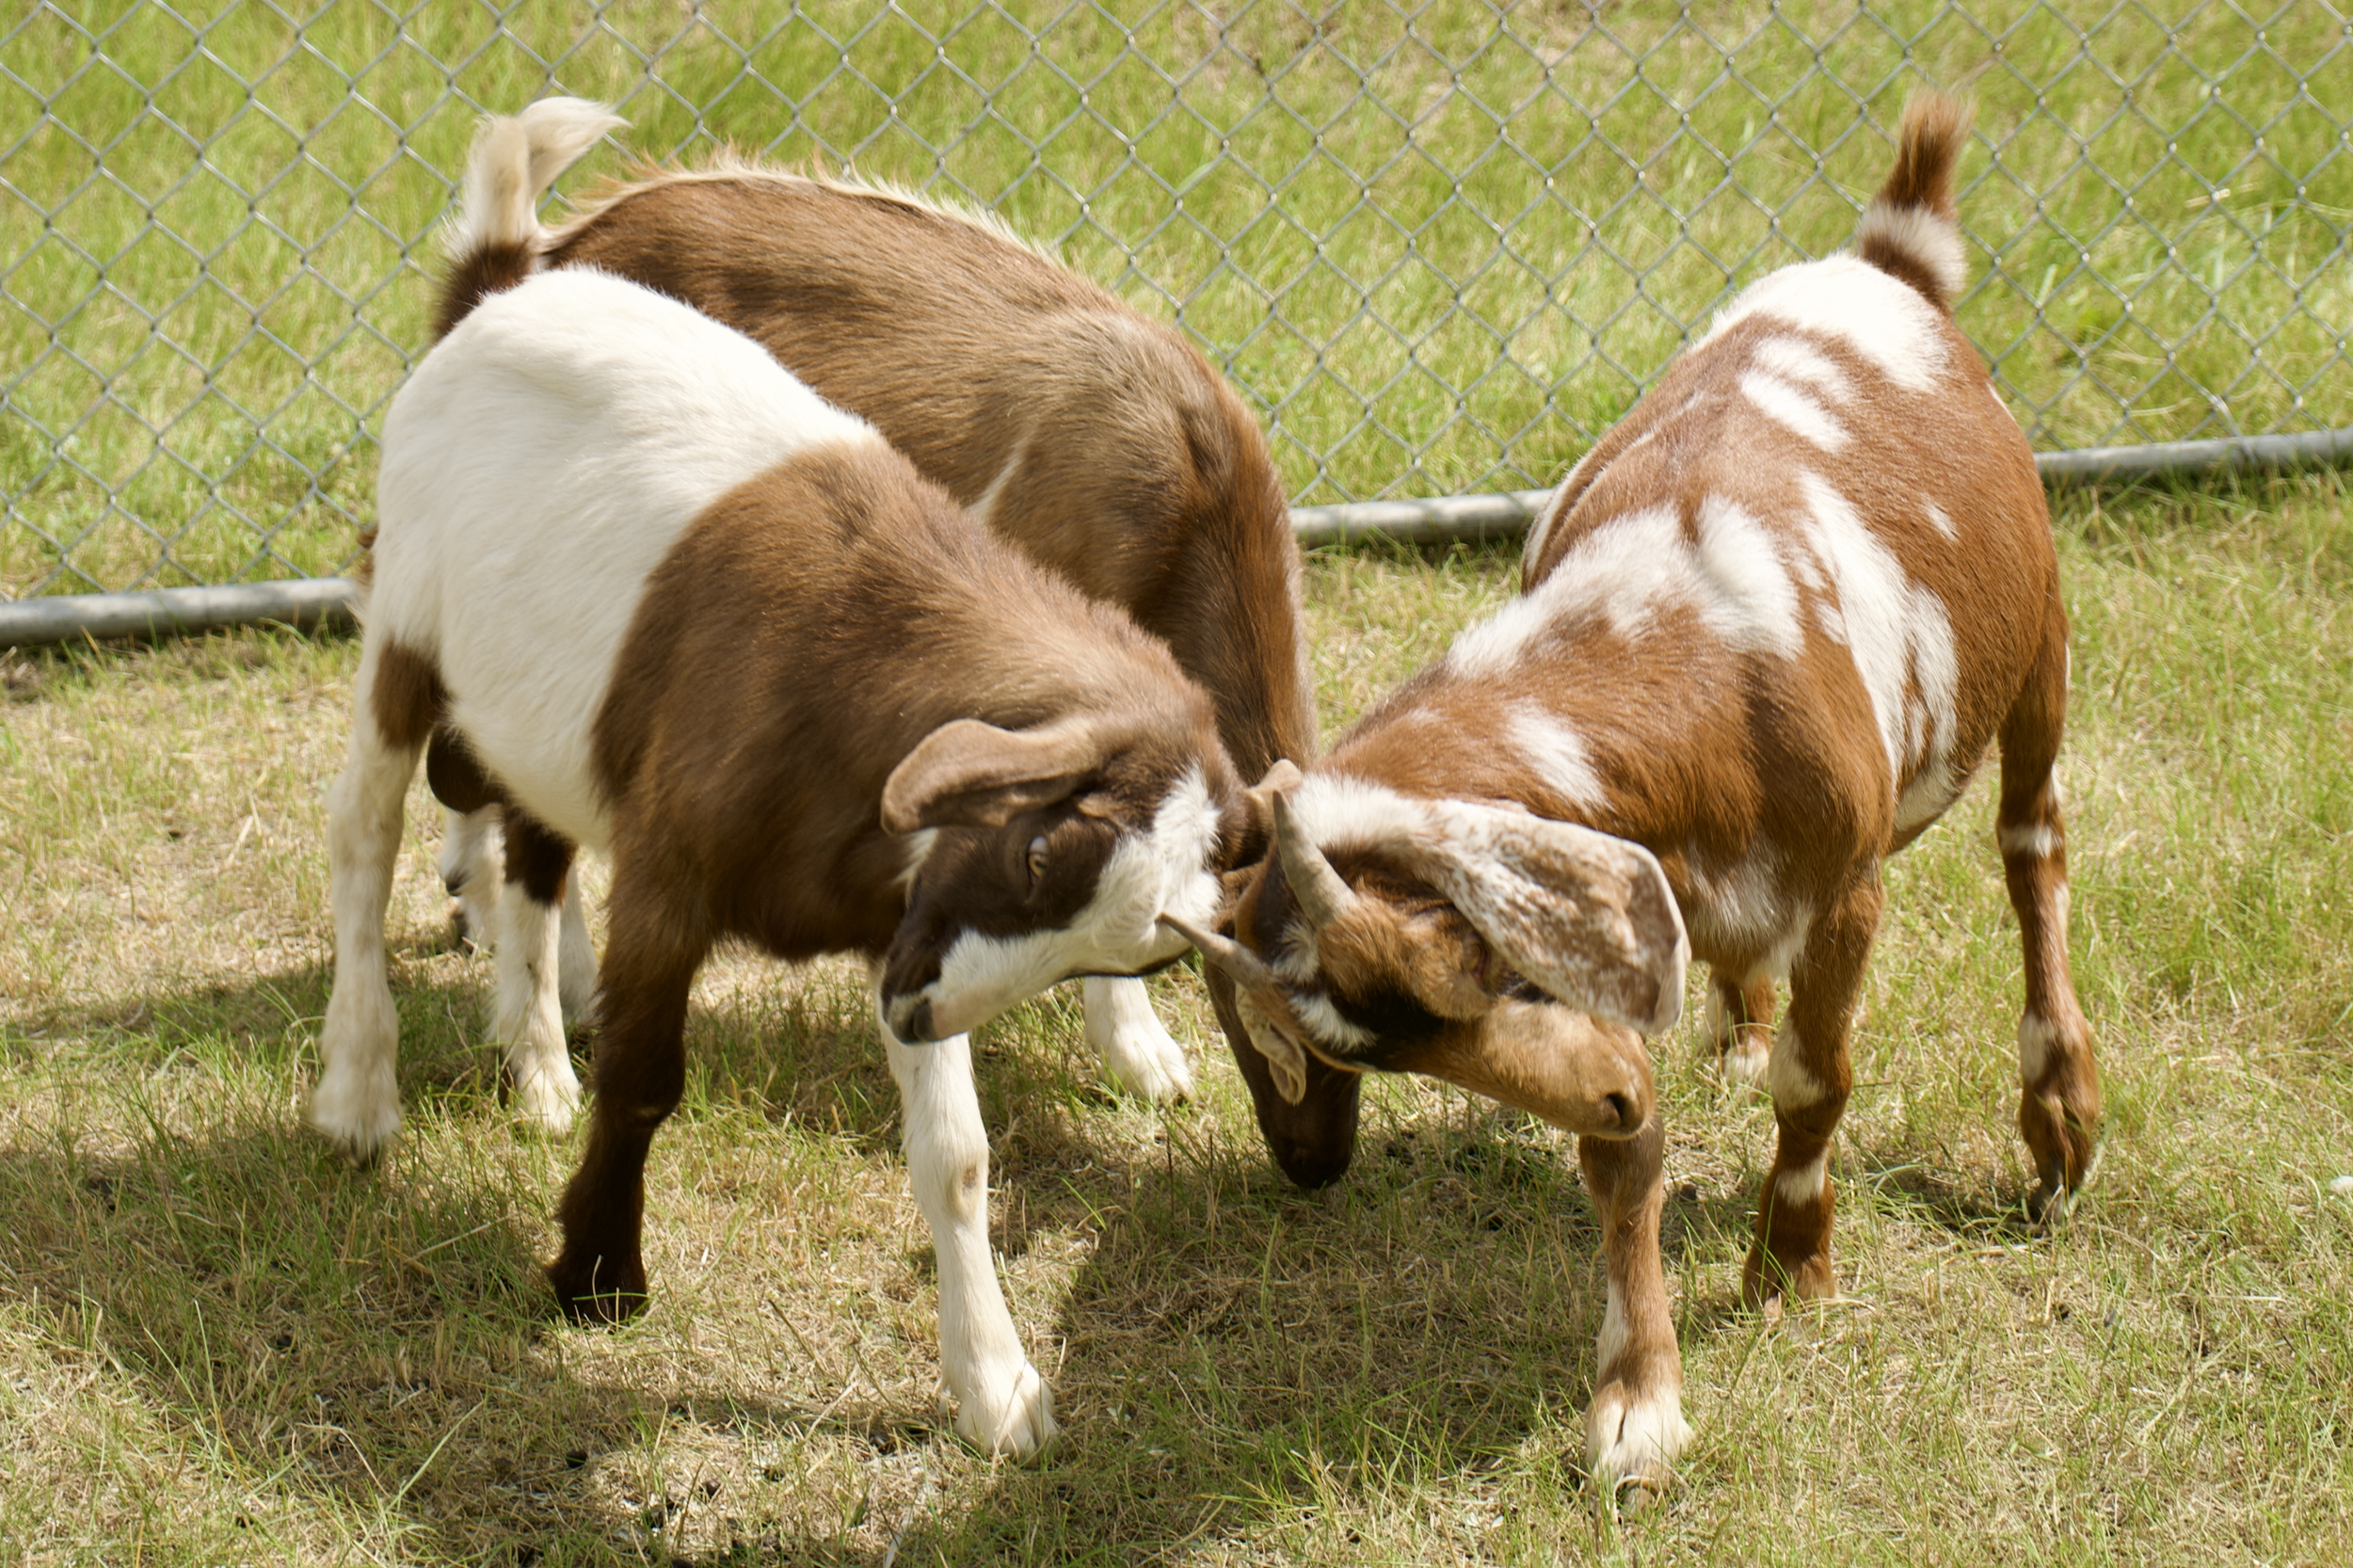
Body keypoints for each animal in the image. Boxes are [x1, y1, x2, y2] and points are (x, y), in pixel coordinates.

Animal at [1179, 94, 2103, 1494]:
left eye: (1461, 970)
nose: (1613, 1087)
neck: (1692, 648)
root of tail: (1886, 259)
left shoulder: (1848, 884)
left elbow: (1818, 1080)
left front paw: (1790, 1269)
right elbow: (1626, 1165)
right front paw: (1637, 1404)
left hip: (2039, 626)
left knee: (2030, 842)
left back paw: (2057, 1118)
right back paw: (1737, 1019)